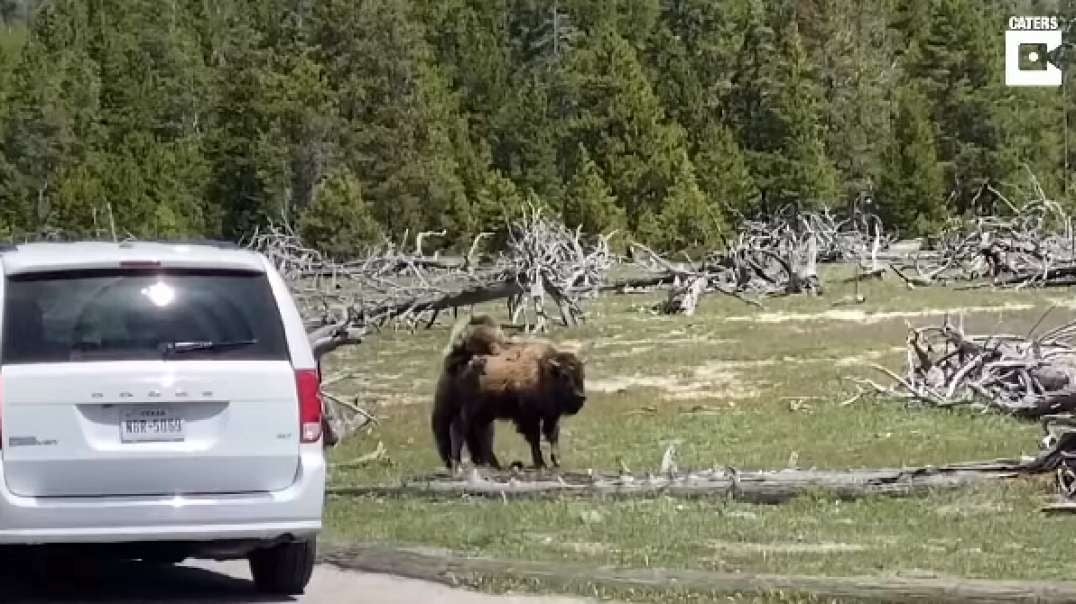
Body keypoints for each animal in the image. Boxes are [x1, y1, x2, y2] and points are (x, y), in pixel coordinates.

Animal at [428, 316, 585, 471]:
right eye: (565, 376)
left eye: (582, 374)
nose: (581, 397)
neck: (542, 370)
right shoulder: (529, 416)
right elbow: (534, 439)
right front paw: (541, 463)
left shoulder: (550, 415)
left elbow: (552, 436)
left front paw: (556, 461)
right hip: (465, 411)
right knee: (458, 432)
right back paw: (459, 463)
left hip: (482, 414)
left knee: (477, 437)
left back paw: (489, 464)